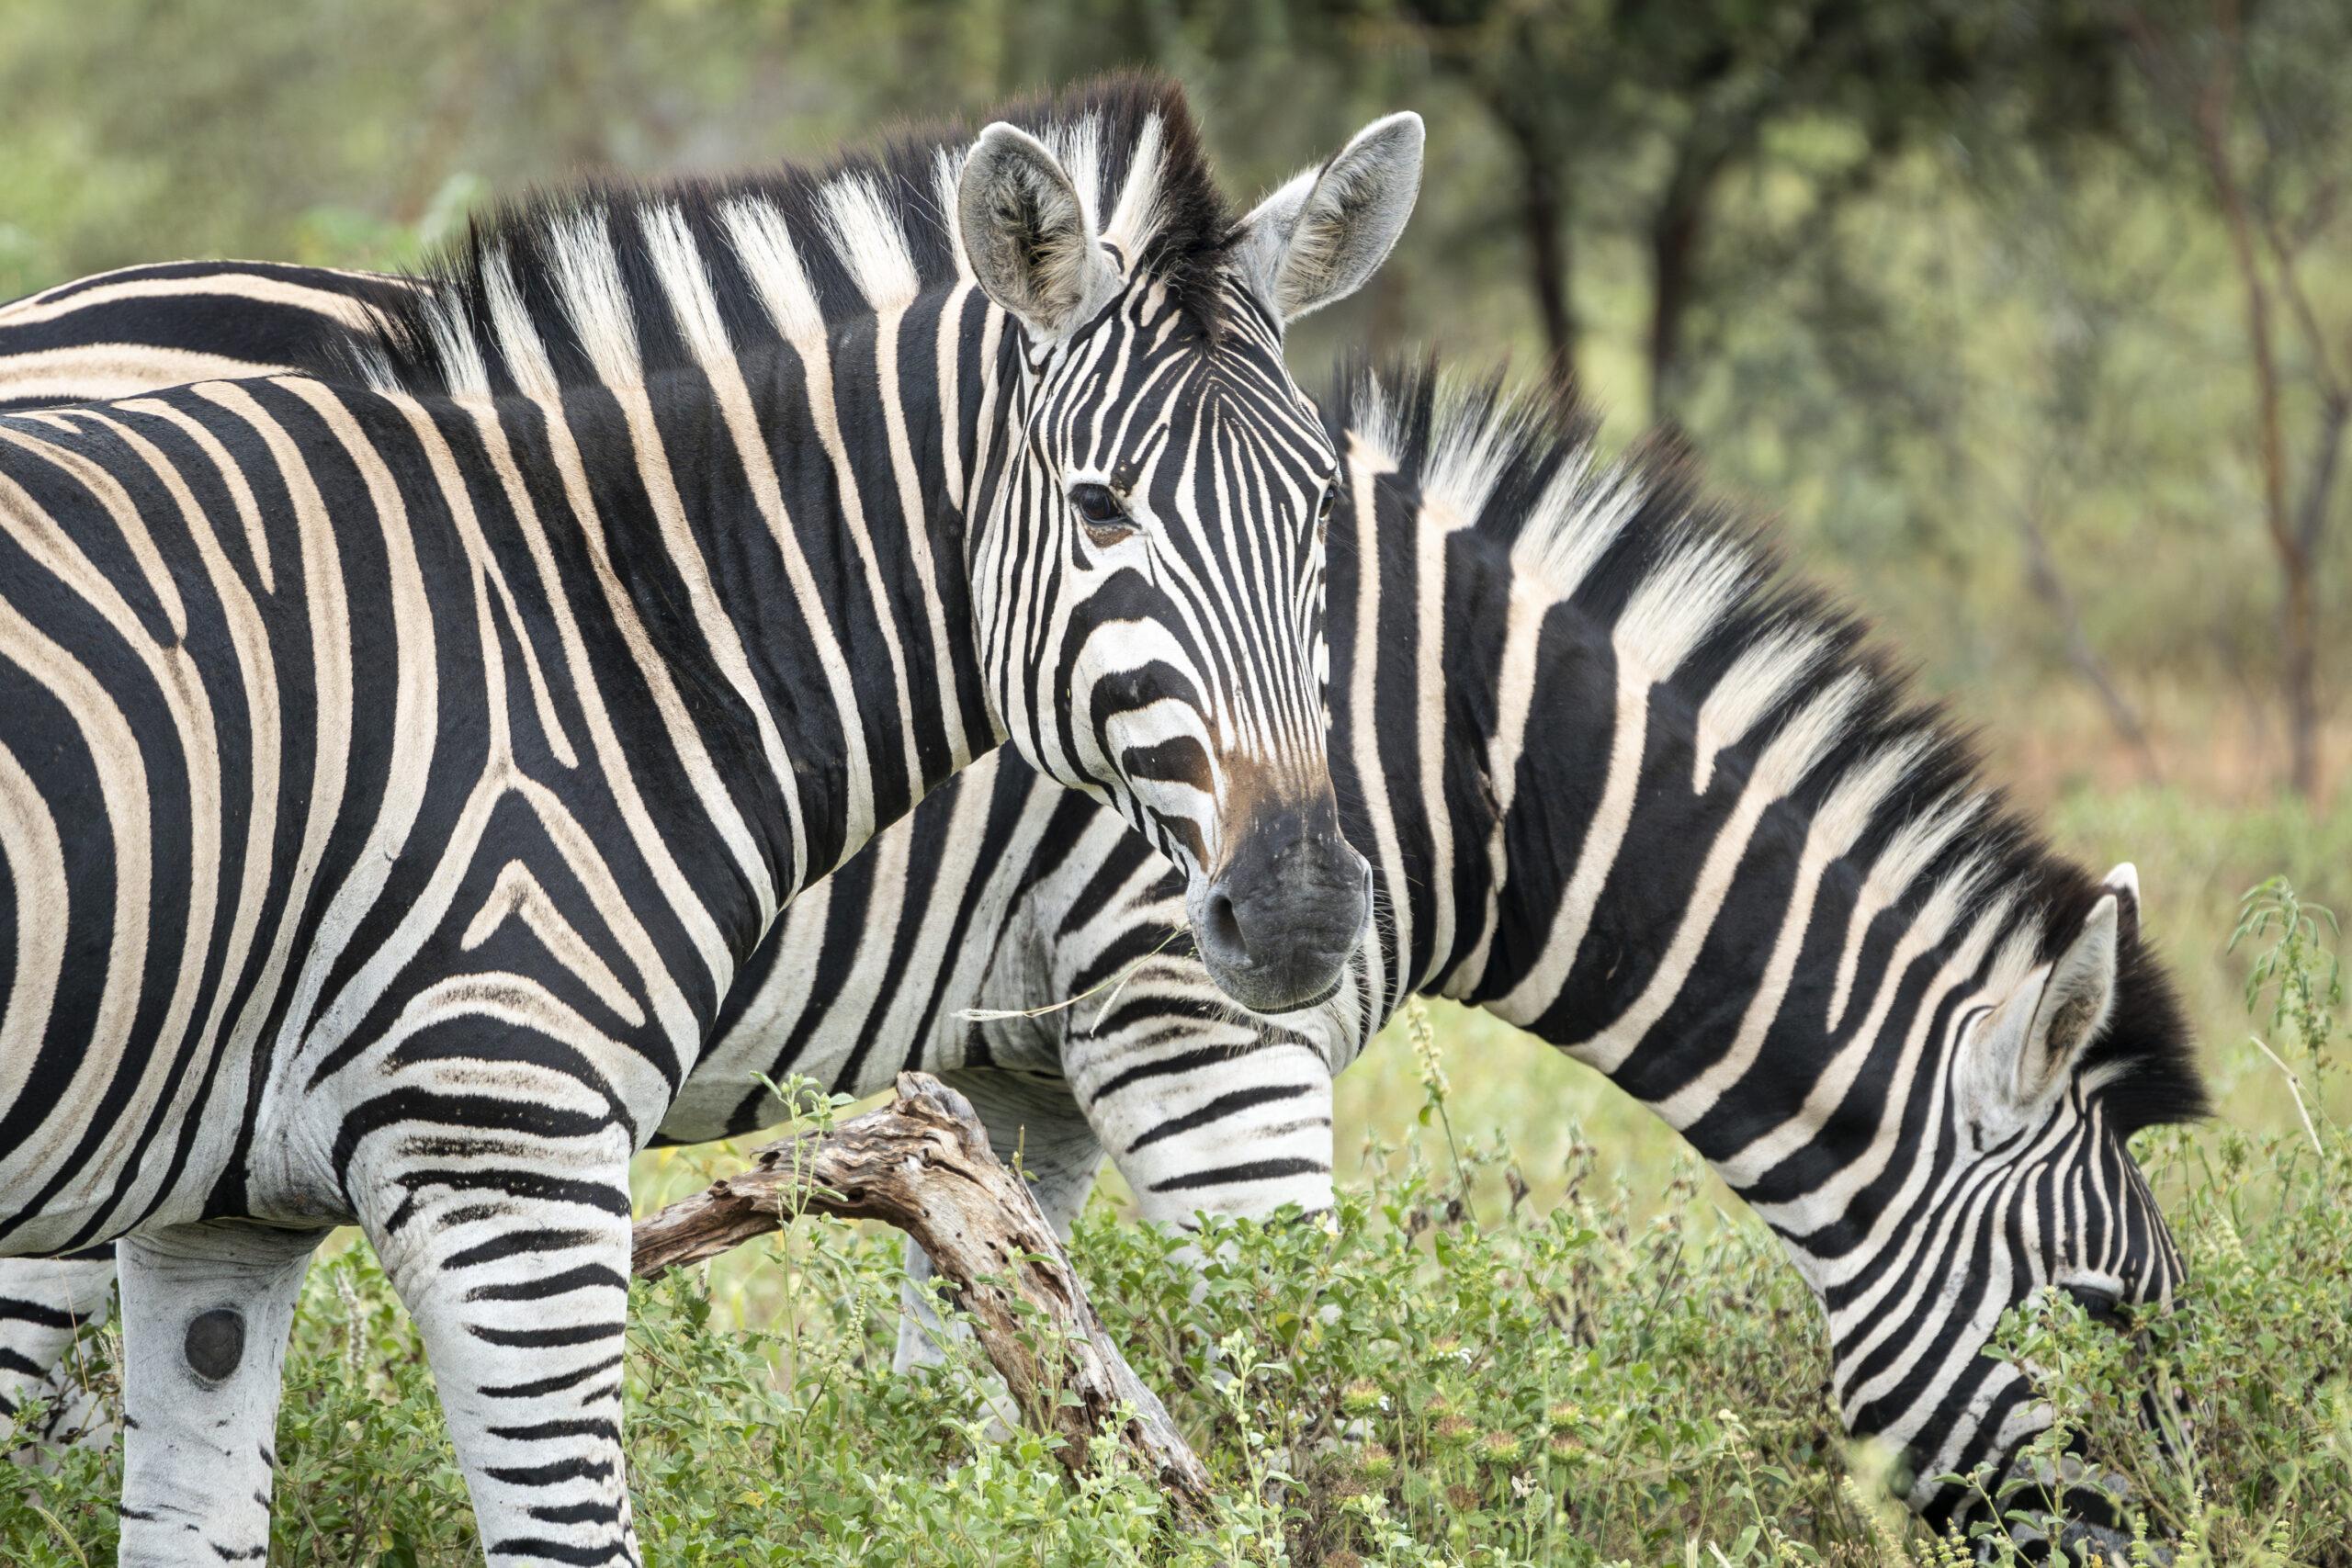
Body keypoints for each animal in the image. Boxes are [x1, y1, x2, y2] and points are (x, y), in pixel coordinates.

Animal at [0, 76, 1428, 1565]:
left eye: (1325, 504)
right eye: (1099, 506)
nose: (1305, 909)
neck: (590, 631)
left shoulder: (222, 1223)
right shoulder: (509, 1157)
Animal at [0, 282, 2200, 1535]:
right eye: (2109, 1319)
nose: (2205, 1521)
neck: (1426, 729)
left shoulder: (1020, 1078)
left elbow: (973, 1379)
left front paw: (921, 1511)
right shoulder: (1190, 1010)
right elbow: (1301, 1367)